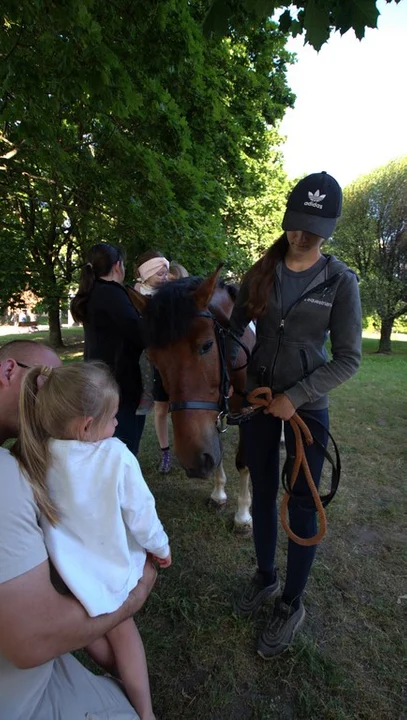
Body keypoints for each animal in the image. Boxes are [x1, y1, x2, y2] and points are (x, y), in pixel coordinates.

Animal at [127, 268, 255, 532]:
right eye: (153, 358)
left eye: (207, 345)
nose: (195, 462)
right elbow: (217, 450)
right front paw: (218, 494)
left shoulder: (247, 414)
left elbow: (243, 462)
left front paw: (243, 516)